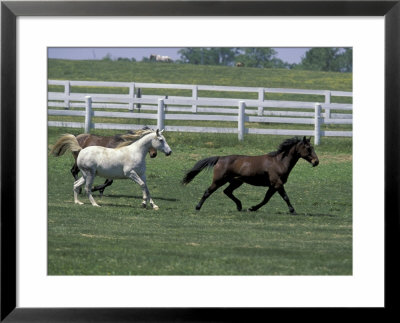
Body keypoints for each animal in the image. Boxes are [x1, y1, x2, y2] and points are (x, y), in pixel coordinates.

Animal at [182, 137, 318, 215]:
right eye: (308, 148)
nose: (316, 162)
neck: (279, 162)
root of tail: (220, 158)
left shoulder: (273, 186)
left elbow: (265, 200)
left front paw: (252, 208)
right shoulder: (277, 184)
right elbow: (285, 197)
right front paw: (293, 210)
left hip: (236, 182)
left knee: (227, 191)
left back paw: (240, 206)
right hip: (219, 181)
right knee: (208, 192)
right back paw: (198, 207)